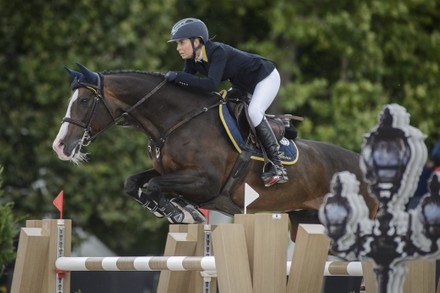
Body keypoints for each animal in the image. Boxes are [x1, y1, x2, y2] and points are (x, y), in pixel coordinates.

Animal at [52, 63, 378, 240]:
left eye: (83, 102)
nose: (60, 147)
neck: (177, 120)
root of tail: (362, 162)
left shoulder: (204, 181)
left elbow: (156, 185)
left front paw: (178, 211)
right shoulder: (168, 171)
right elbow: (133, 183)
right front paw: (174, 208)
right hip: (305, 221)